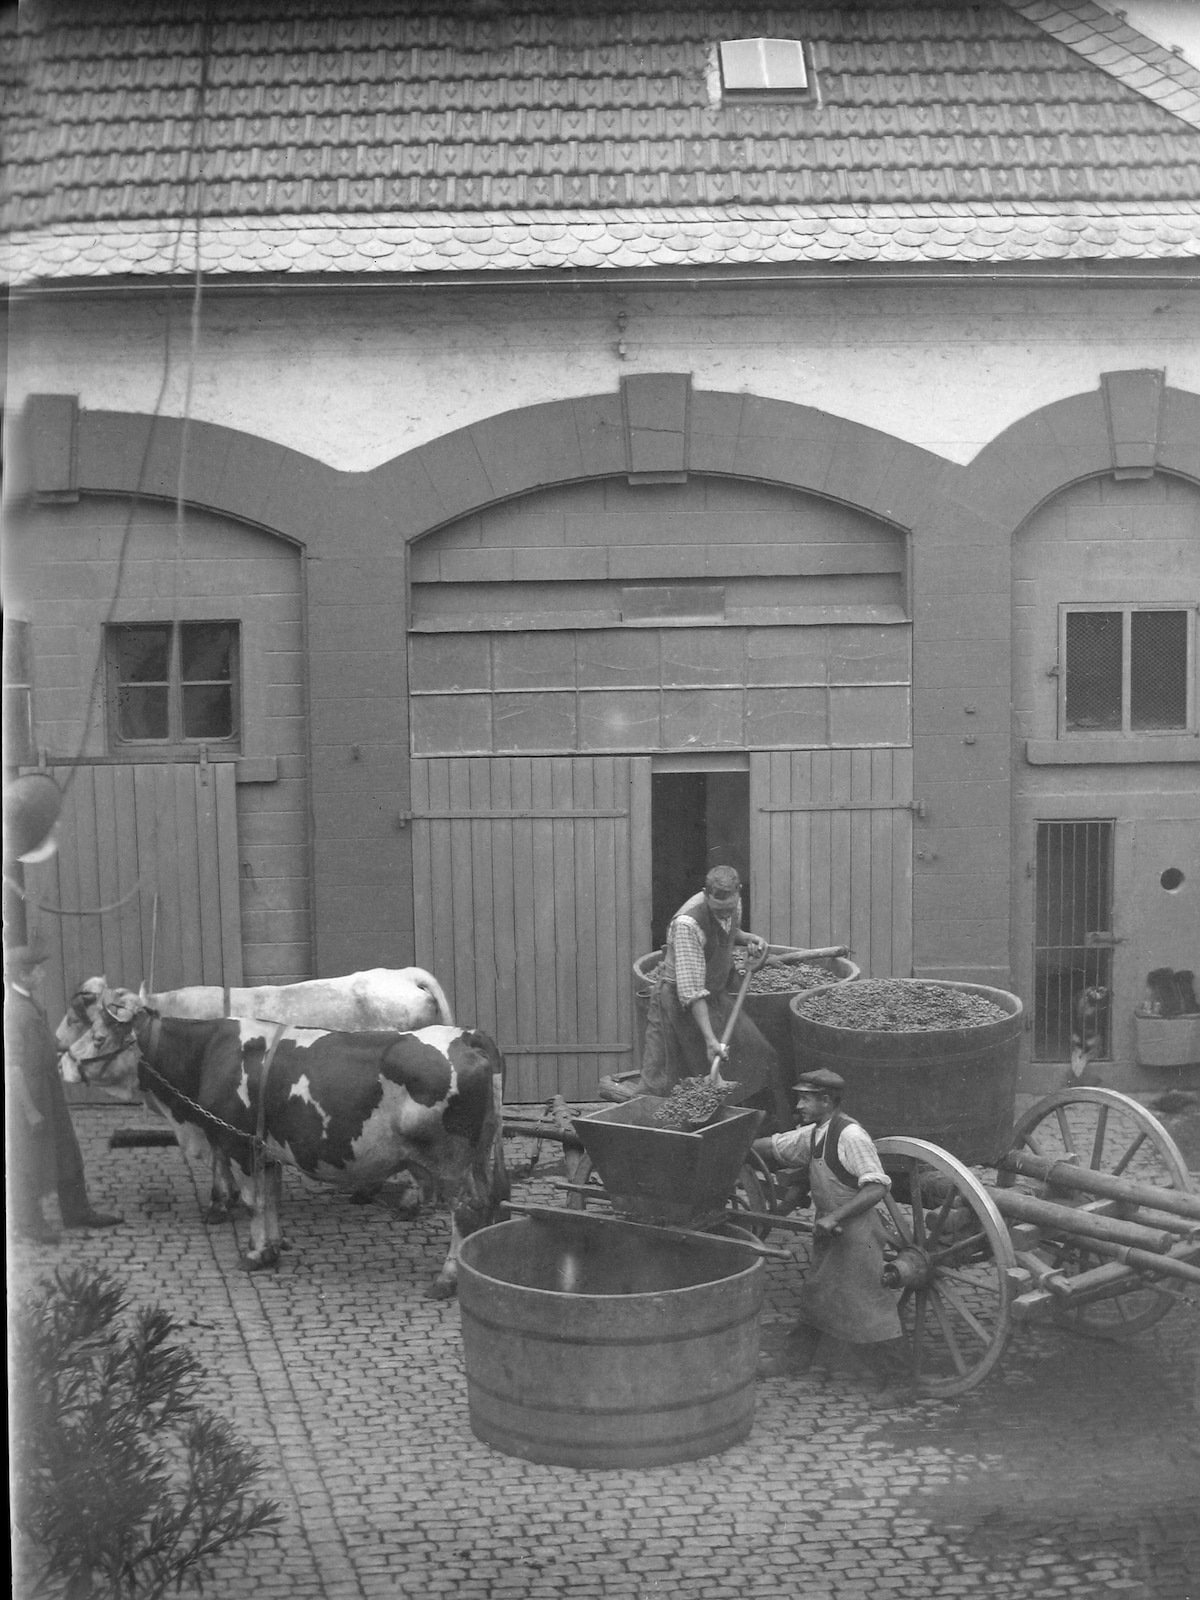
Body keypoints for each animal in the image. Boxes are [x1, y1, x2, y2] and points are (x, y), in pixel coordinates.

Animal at [86, 1017, 508, 1292]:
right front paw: (272, 1248)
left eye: (96, 1037)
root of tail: (466, 1035)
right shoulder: (266, 1149)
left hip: (449, 1162)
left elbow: (254, 1201)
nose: (70, 1062)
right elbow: (271, 1198)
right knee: (488, 1203)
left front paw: (255, 1253)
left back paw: (448, 1278)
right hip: (481, 1154)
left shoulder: (236, 1144)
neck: (211, 1051)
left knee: (464, 1211)